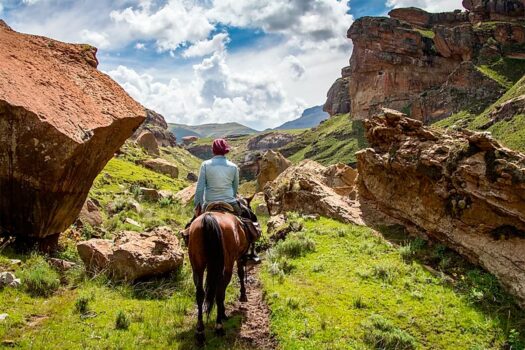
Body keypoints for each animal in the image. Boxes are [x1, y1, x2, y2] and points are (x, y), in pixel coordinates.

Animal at [186, 202, 254, 344]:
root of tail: (209, 218)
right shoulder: (240, 257)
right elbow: (240, 274)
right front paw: (242, 296)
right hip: (226, 265)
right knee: (219, 292)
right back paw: (219, 326)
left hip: (197, 265)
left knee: (200, 294)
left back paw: (200, 332)